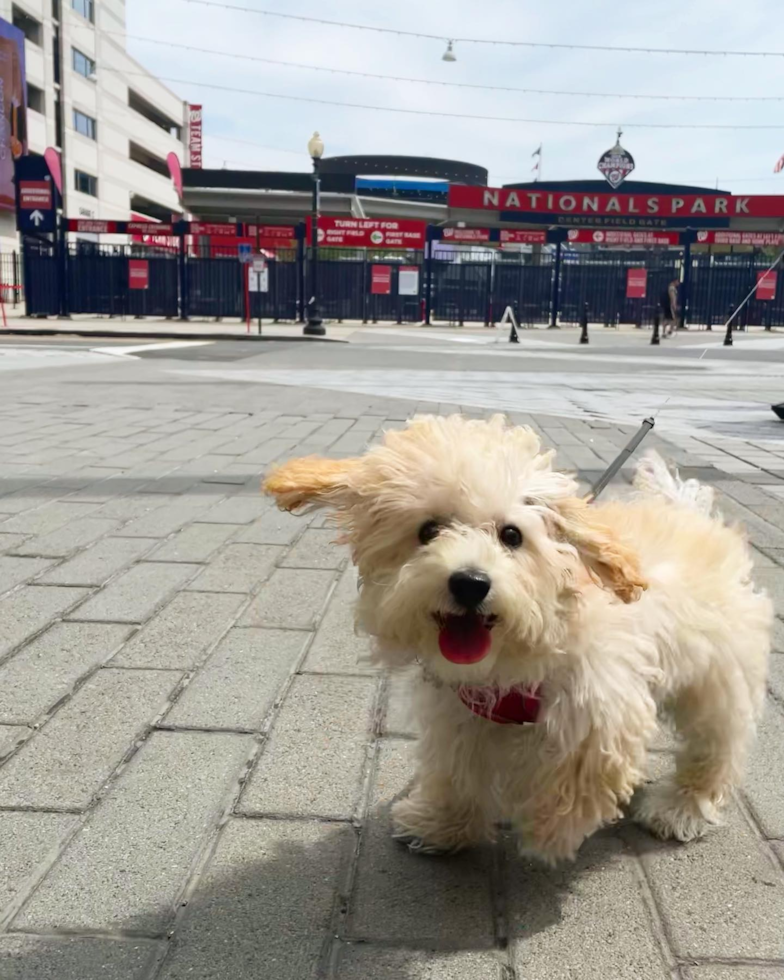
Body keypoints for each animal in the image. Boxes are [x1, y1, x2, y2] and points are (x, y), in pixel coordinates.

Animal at [264, 418, 772, 860]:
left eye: (511, 535)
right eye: (428, 530)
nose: (470, 583)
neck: (519, 652)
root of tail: (688, 509)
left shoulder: (601, 708)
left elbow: (581, 779)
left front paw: (549, 831)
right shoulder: (460, 713)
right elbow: (456, 768)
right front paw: (443, 825)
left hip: (718, 678)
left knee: (714, 747)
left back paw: (680, 808)